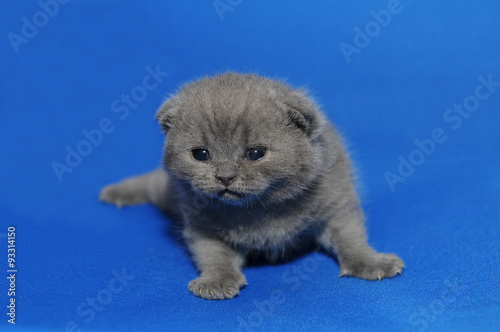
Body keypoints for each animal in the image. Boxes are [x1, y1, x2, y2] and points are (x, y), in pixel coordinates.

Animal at [99, 72, 404, 300]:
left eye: (255, 153)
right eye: (201, 154)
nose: (225, 176)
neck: (262, 208)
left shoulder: (337, 202)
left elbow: (351, 238)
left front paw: (371, 262)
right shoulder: (200, 225)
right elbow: (214, 254)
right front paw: (217, 281)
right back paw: (116, 192)